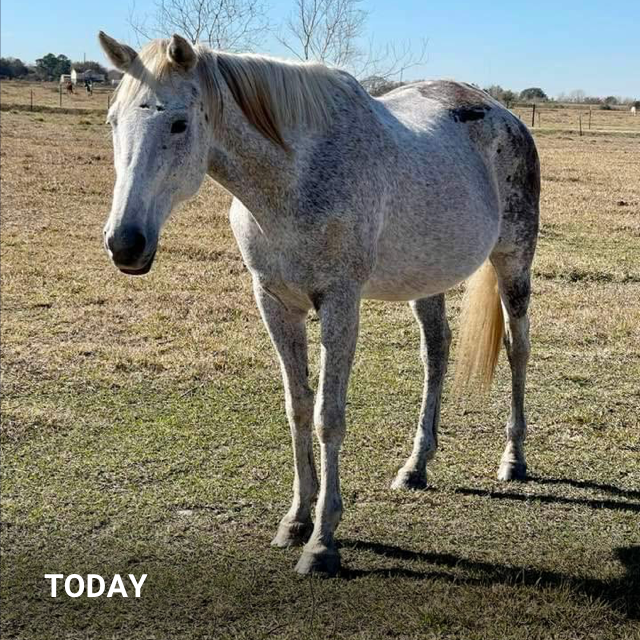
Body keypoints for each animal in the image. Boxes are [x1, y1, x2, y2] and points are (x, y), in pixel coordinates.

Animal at [98, 31, 540, 577]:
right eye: (113, 122)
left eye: (179, 123)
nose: (125, 243)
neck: (295, 178)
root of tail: (504, 113)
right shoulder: (274, 302)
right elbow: (298, 407)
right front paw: (295, 520)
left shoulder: (340, 303)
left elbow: (329, 416)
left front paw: (323, 542)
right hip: (426, 278)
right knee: (436, 352)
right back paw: (416, 467)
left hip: (513, 261)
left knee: (518, 349)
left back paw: (513, 459)